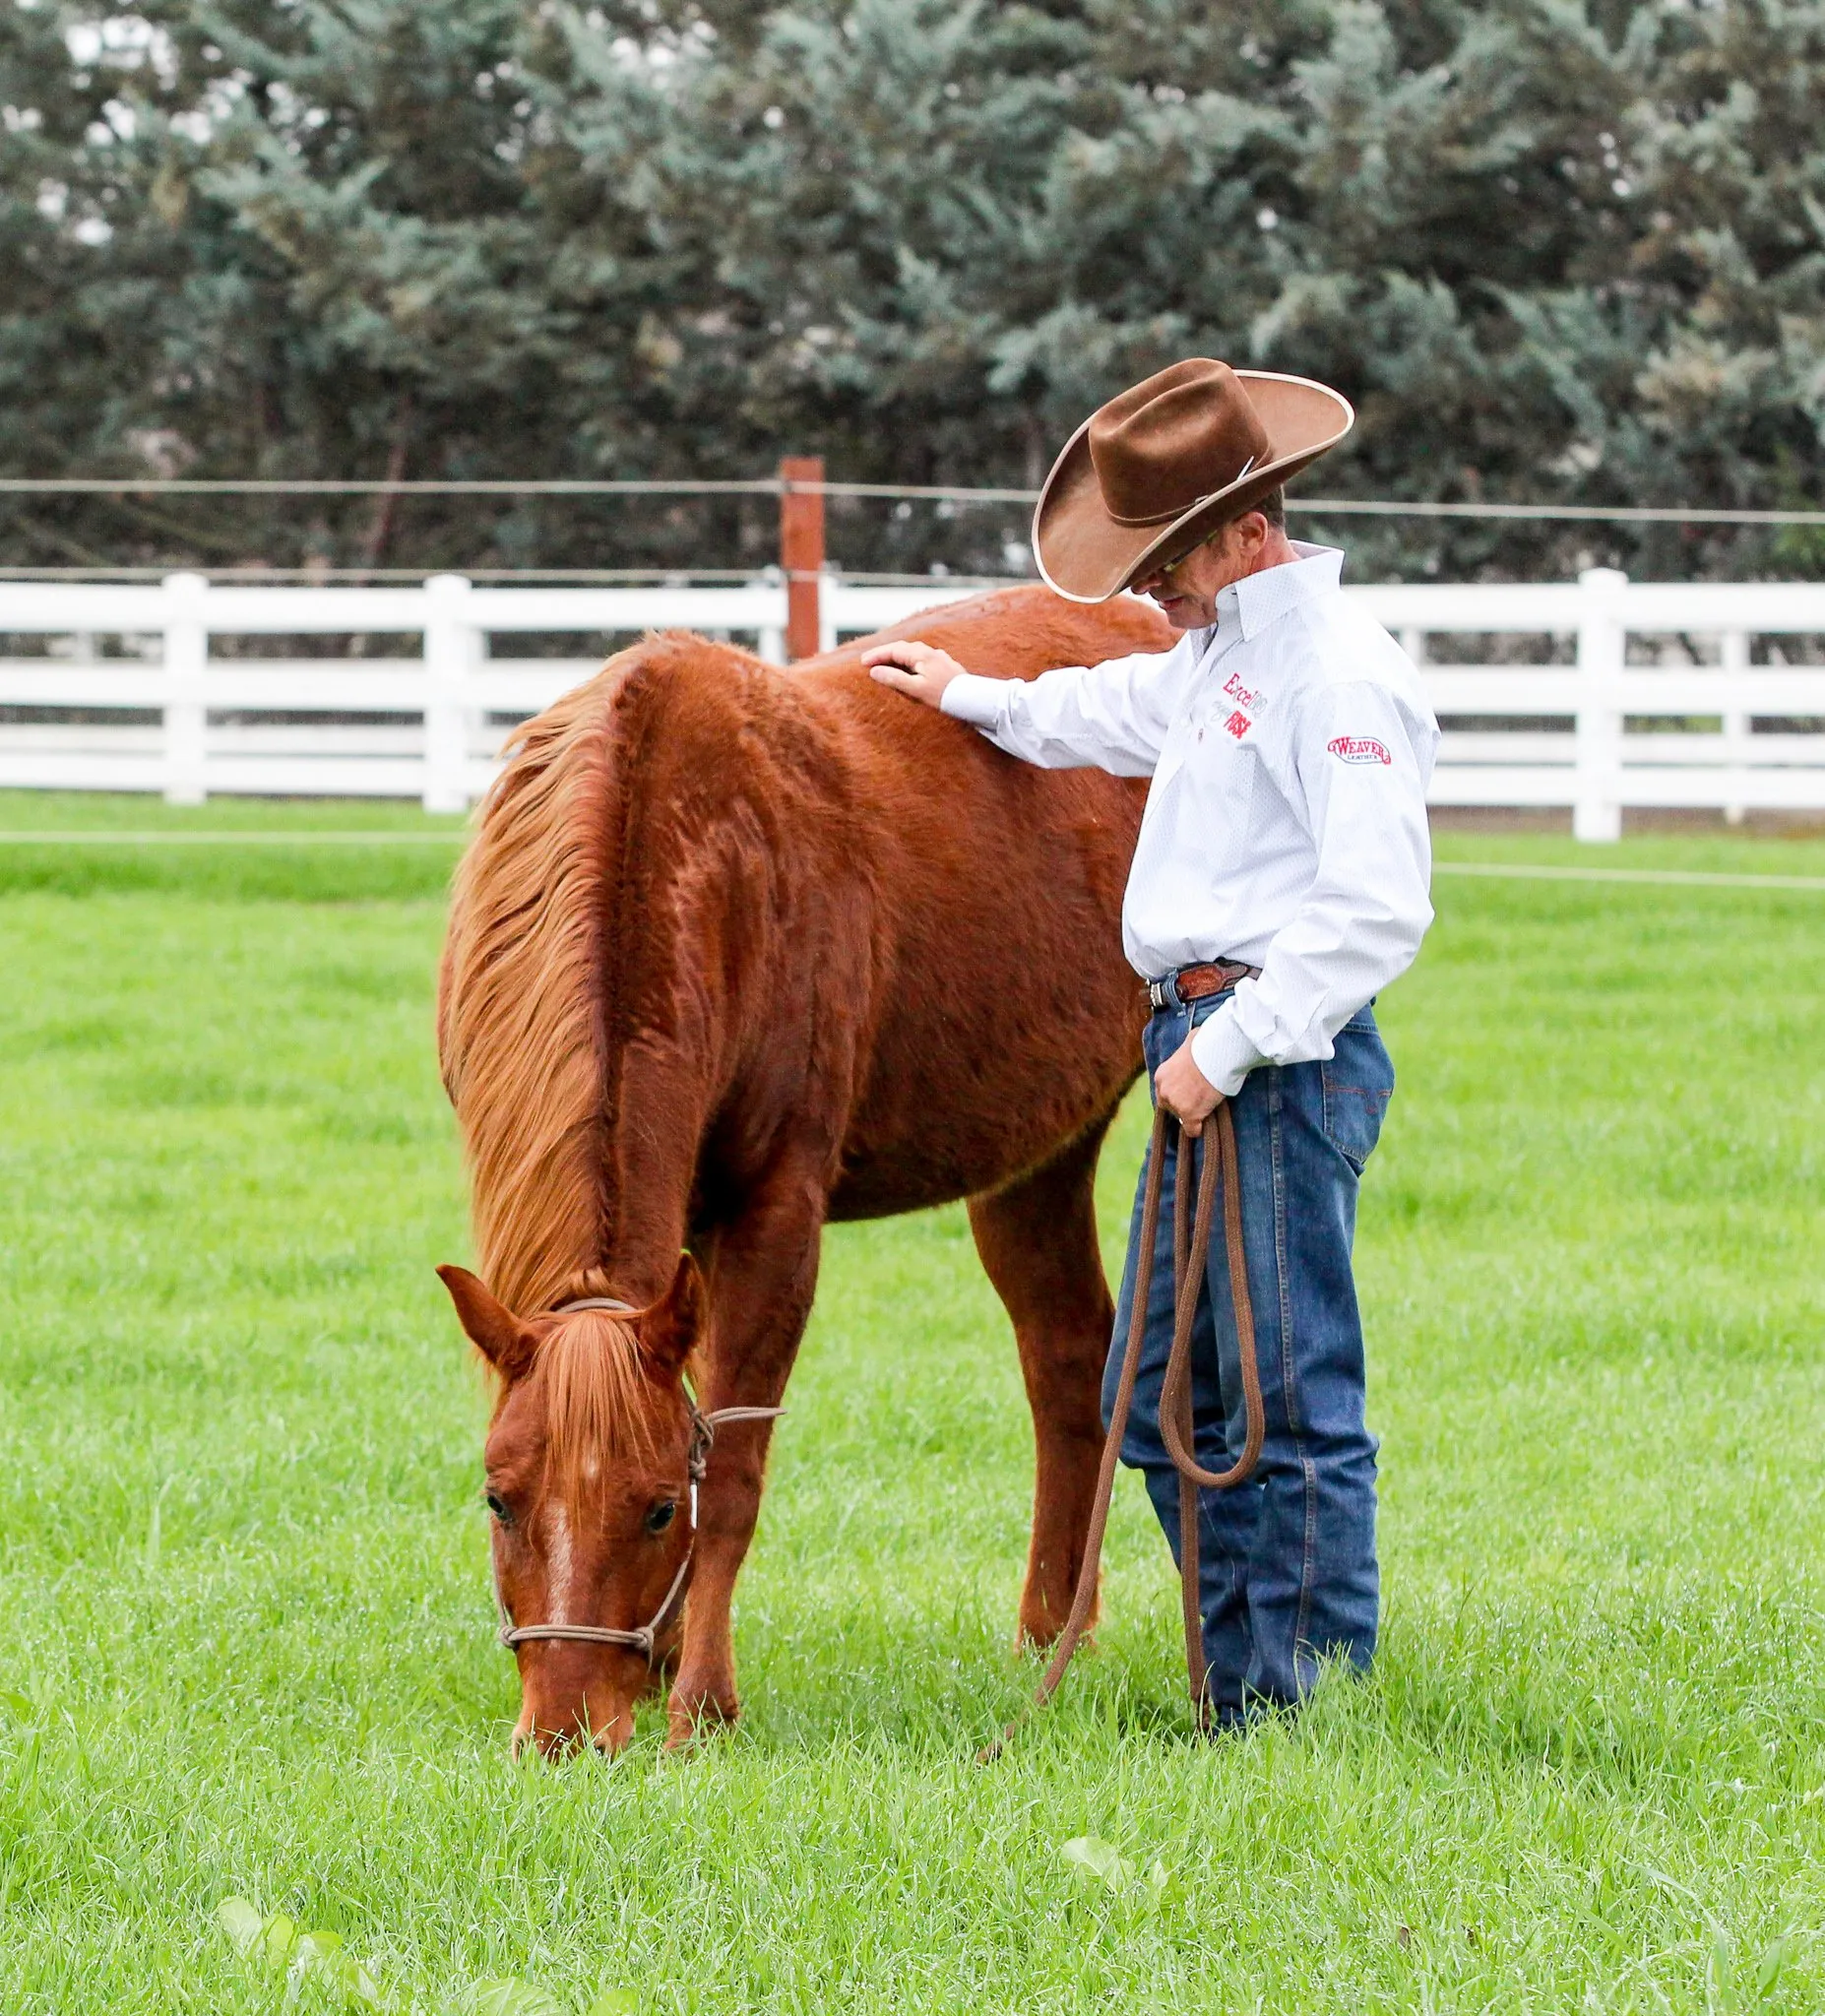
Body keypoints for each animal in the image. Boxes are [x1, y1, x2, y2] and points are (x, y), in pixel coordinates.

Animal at [436, 583, 1171, 1754]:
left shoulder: (775, 1209)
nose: (566, 1731)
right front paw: (668, 1662)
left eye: (657, 1505)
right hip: (1036, 1157)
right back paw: (1051, 1631)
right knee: (1064, 1357)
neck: (673, 838)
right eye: (499, 1498)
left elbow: (734, 1464)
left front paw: (700, 1699)